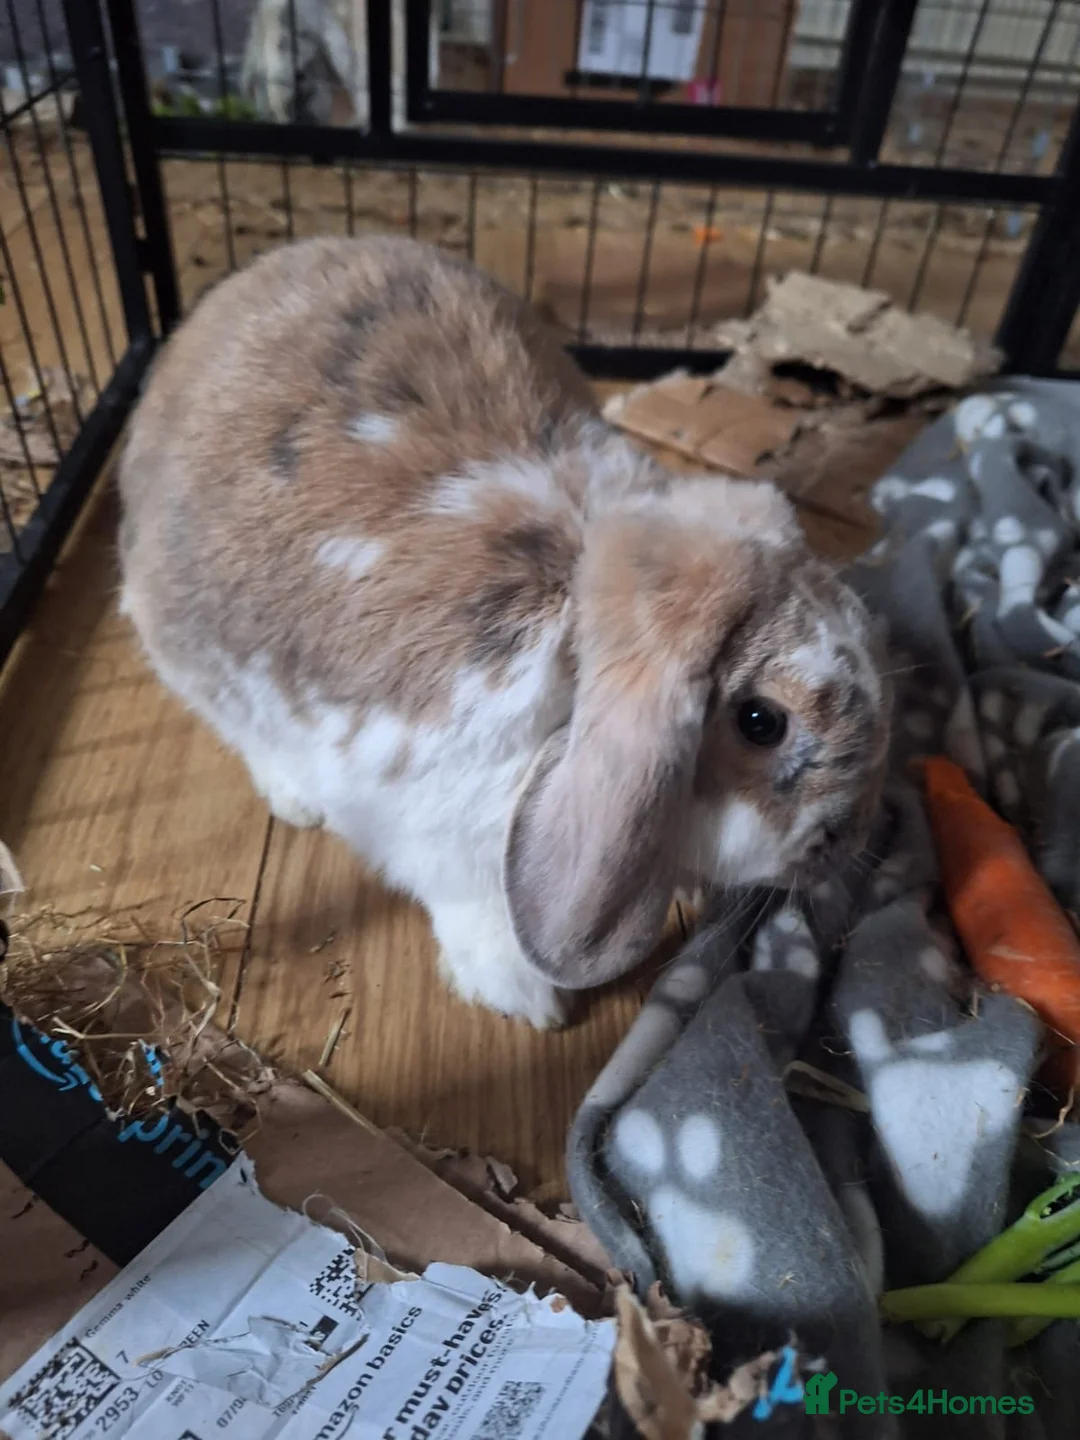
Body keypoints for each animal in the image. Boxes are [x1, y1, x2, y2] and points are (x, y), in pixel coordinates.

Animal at [118, 235, 890, 1029]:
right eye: (762, 722)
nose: (850, 840)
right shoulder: (436, 836)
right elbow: (475, 910)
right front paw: (526, 999)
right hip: (191, 655)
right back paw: (294, 800)